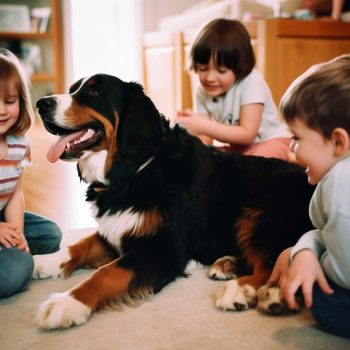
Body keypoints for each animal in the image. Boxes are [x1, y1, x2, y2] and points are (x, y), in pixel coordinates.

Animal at [33, 74, 314, 328]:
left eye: (94, 92)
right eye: (73, 89)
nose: (41, 103)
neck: (134, 170)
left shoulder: (162, 248)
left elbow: (107, 273)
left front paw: (67, 302)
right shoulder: (118, 227)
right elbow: (81, 244)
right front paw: (45, 261)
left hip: (260, 214)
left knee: (274, 264)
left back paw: (248, 290)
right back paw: (227, 265)